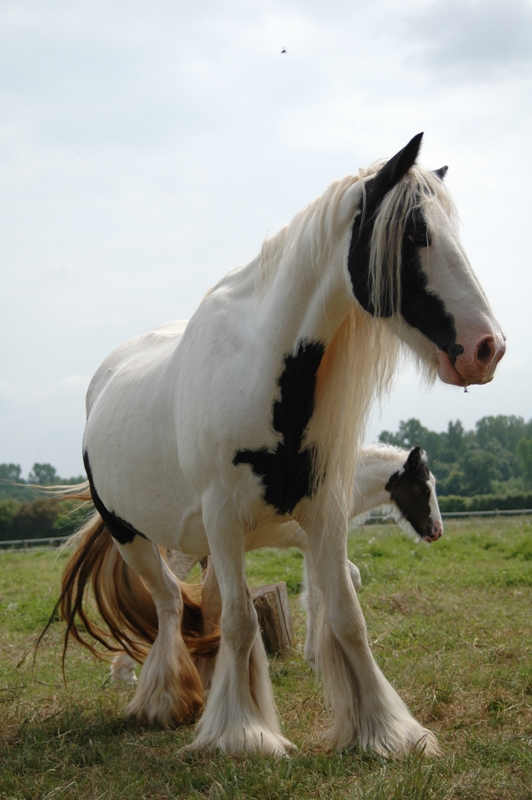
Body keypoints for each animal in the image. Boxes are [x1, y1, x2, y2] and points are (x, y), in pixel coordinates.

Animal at [56, 136, 504, 756]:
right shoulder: (226, 519)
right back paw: (164, 698)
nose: (488, 347)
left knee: (203, 605)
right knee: (170, 601)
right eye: (415, 231)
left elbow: (346, 613)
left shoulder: (322, 517)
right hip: (138, 535)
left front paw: (384, 731)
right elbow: (245, 620)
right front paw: (244, 735)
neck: (264, 373)